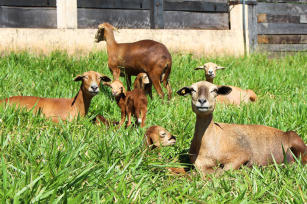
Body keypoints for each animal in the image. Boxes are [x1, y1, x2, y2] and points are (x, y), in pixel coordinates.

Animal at [178, 80, 307, 176]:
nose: (202, 101)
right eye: (192, 90)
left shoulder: (241, 155)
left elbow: (222, 171)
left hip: (296, 141)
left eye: (214, 90)